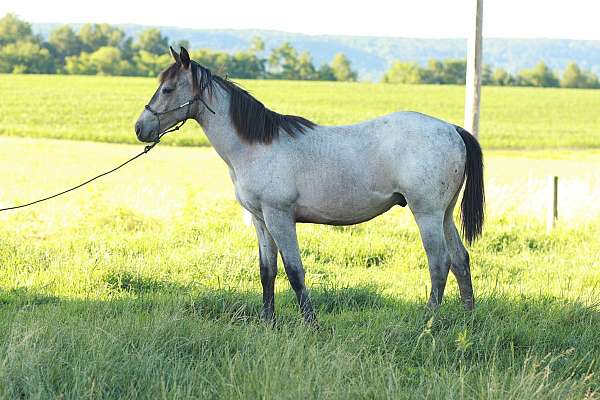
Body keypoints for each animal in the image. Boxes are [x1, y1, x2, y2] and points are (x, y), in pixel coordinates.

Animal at [135, 49, 482, 324]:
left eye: (167, 89)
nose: (140, 128)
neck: (255, 146)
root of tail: (452, 129)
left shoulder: (279, 217)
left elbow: (294, 271)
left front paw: (311, 324)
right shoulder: (260, 220)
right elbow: (267, 271)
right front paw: (268, 323)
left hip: (427, 214)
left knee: (440, 263)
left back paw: (428, 322)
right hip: (444, 214)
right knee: (460, 260)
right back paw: (468, 319)